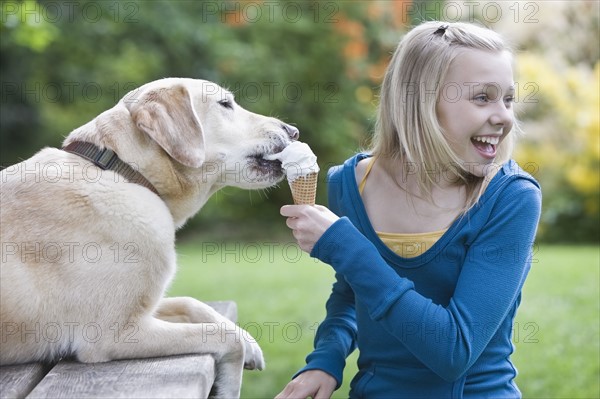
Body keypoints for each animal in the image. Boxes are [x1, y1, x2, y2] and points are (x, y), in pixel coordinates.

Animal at [0, 77, 300, 396]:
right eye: (225, 104)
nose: (293, 131)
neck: (125, 172)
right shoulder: (115, 334)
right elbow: (223, 337)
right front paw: (229, 386)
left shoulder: (147, 309)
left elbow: (192, 303)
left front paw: (250, 342)